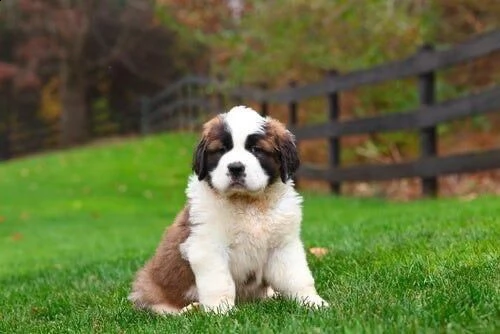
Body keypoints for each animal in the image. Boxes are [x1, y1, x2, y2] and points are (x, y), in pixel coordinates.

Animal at [130, 105, 328, 314]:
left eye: (256, 149)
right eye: (221, 150)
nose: (235, 168)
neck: (248, 203)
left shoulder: (283, 246)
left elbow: (297, 277)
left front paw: (312, 302)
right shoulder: (208, 247)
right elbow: (219, 282)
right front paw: (220, 311)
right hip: (150, 285)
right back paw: (188, 309)